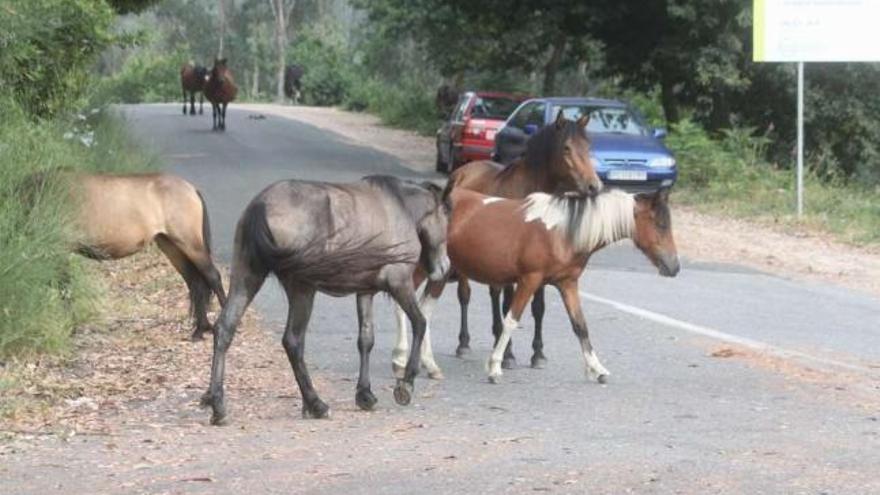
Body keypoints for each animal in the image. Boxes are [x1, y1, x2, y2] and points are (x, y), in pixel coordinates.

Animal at [203, 175, 450, 426]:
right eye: (446, 218)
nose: (444, 268)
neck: (400, 206)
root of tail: (260, 206)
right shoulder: (399, 283)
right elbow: (419, 323)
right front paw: (406, 385)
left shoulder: (365, 291)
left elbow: (366, 339)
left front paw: (365, 395)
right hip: (302, 288)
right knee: (293, 340)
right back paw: (316, 404)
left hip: (248, 277)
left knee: (225, 328)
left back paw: (218, 405)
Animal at [394, 186, 680, 384]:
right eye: (660, 224)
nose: (674, 266)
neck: (563, 233)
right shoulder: (529, 280)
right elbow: (511, 320)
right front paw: (495, 367)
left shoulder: (567, 284)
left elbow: (580, 325)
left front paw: (597, 369)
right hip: (421, 269)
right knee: (405, 308)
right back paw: (399, 359)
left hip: (440, 274)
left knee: (424, 312)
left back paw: (430, 366)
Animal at [446, 109, 600, 372]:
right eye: (567, 148)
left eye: (588, 146)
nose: (593, 186)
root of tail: (461, 172)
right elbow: (510, 306)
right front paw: (508, 355)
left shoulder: (539, 265)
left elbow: (538, 308)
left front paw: (538, 353)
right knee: (465, 294)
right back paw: (464, 344)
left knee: (493, 293)